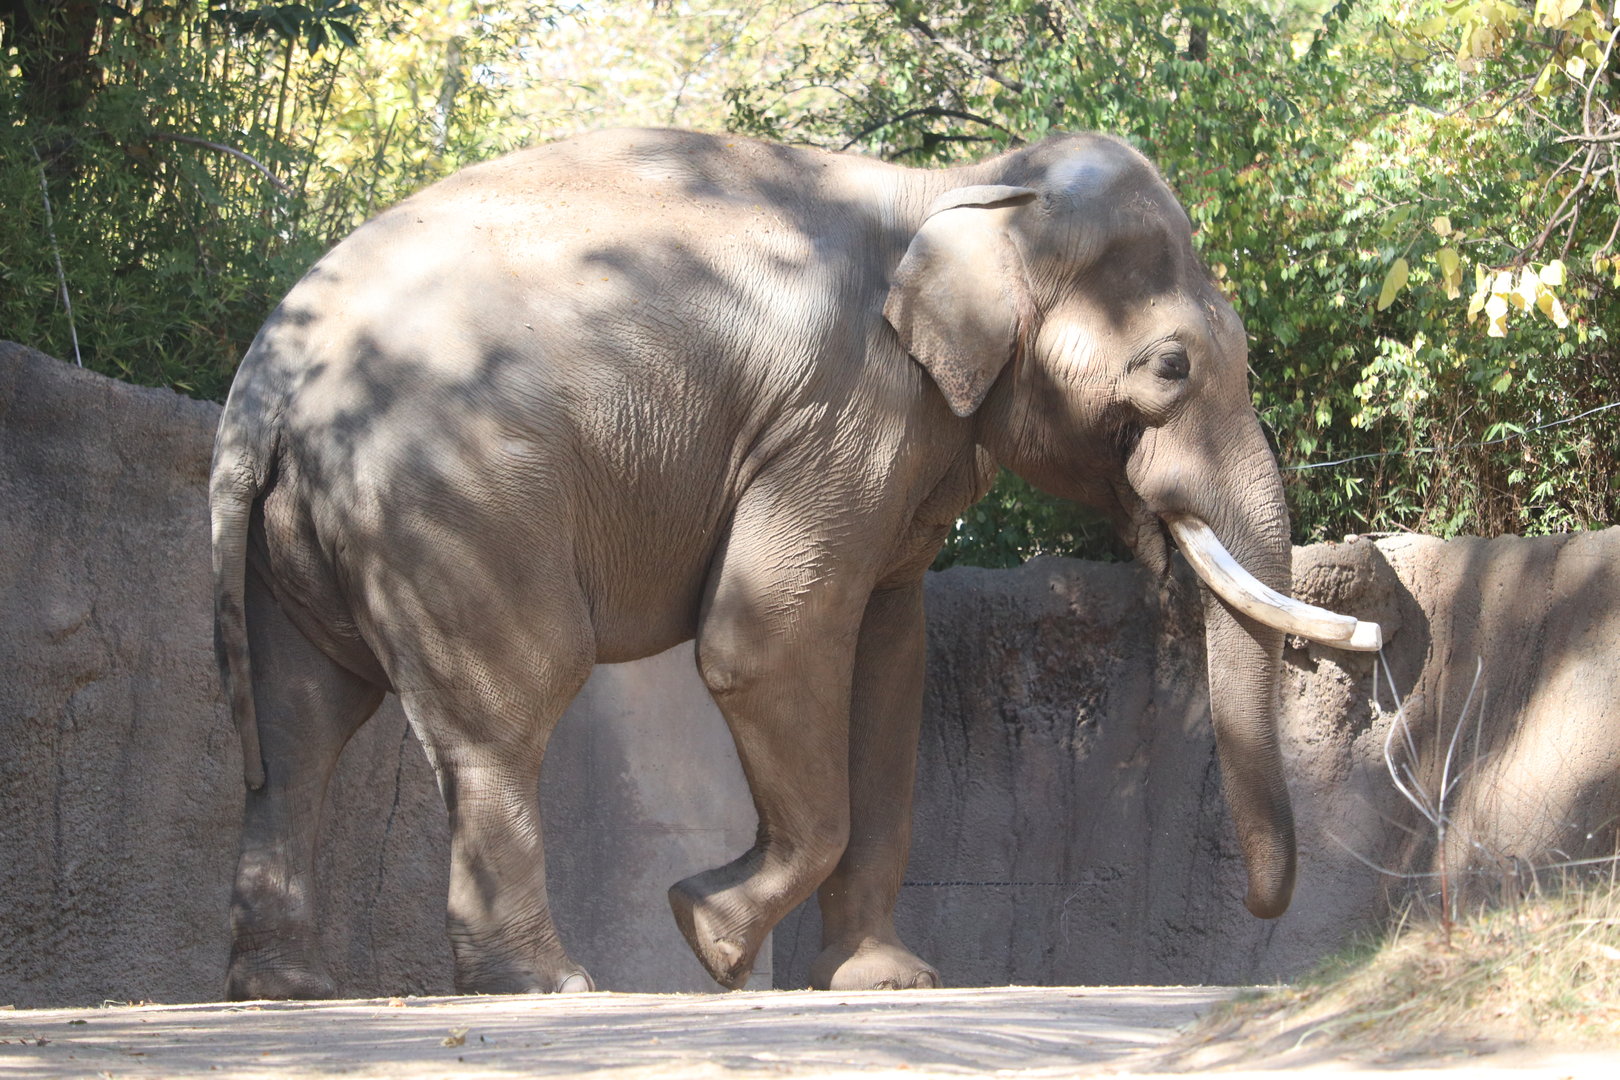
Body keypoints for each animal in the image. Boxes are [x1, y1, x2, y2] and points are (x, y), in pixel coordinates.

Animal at [210, 127, 1379, 1000]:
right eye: (1173, 366)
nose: (1259, 915)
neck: (967, 189)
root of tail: (267, 376)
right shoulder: (844, 411)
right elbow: (766, 639)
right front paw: (708, 934)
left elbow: (888, 662)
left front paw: (884, 981)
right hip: (454, 503)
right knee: (501, 710)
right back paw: (548, 985)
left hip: (300, 536)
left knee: (300, 722)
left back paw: (286, 988)